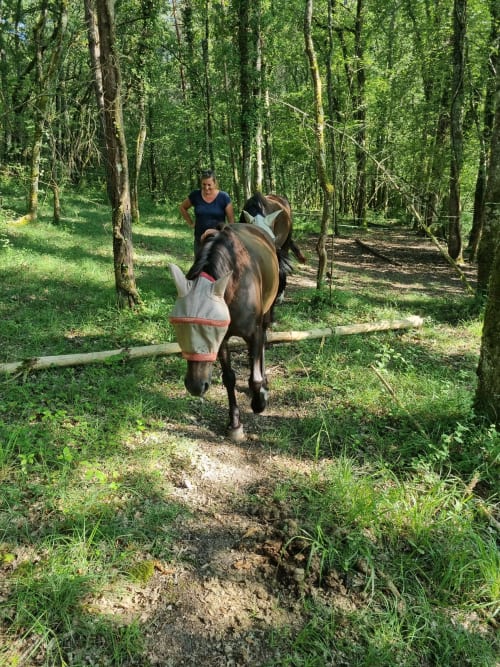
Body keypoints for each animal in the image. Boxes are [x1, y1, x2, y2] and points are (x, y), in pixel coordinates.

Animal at [169, 223, 279, 441]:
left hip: (265, 315)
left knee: (263, 342)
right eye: (178, 327)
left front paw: (259, 402)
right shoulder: (223, 341)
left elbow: (254, 378)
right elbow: (229, 378)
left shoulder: (253, 333)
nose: (195, 386)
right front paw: (235, 424)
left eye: (210, 329)